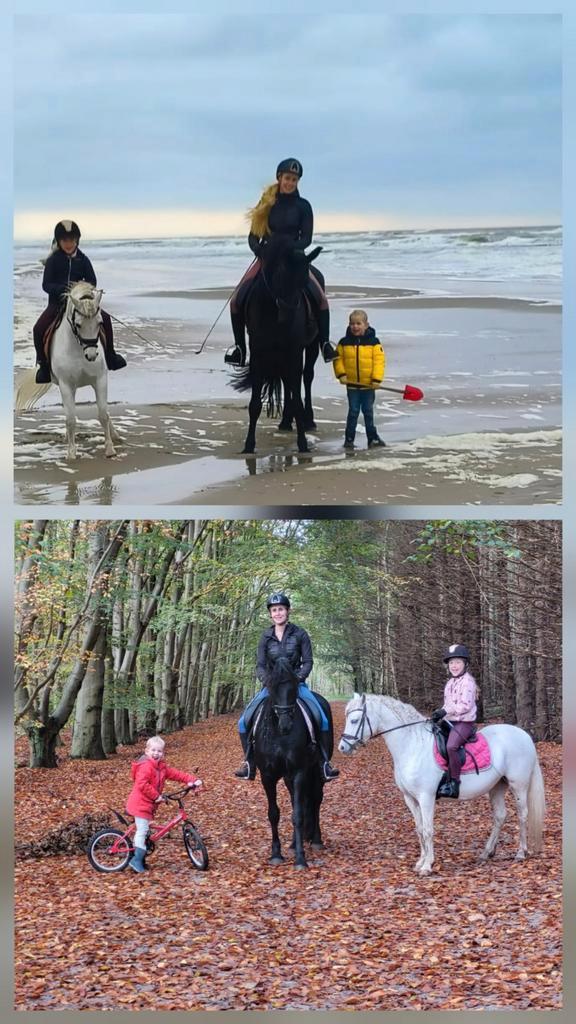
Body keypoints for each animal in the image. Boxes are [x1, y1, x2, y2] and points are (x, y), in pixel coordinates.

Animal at [15, 282, 120, 460]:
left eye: (100, 323)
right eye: (78, 324)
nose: (91, 355)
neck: (78, 349)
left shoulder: (100, 379)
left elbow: (103, 415)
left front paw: (109, 448)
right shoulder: (66, 385)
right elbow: (70, 419)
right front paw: (71, 453)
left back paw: (114, 435)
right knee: (68, 413)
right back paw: (67, 438)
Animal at [230, 236, 322, 454]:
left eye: (303, 281)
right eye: (274, 277)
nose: (288, 314)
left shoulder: (294, 351)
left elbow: (297, 399)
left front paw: (303, 444)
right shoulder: (259, 354)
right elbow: (255, 404)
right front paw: (248, 446)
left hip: (311, 346)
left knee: (307, 377)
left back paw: (309, 421)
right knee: (288, 382)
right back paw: (286, 422)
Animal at [253, 657, 328, 868]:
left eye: (294, 688)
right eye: (272, 688)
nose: (285, 725)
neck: (279, 736)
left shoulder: (300, 772)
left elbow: (298, 815)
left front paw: (301, 859)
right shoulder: (267, 776)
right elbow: (274, 814)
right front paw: (276, 854)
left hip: (315, 772)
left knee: (315, 799)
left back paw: (316, 840)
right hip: (288, 778)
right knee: (300, 801)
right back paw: (295, 843)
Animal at [338, 693, 545, 876]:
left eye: (355, 720)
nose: (342, 747)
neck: (412, 746)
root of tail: (524, 735)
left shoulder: (426, 797)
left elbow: (428, 830)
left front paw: (427, 866)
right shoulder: (410, 798)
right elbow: (419, 829)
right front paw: (420, 862)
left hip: (518, 785)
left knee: (522, 815)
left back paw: (521, 853)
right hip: (497, 787)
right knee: (500, 816)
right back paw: (486, 853)